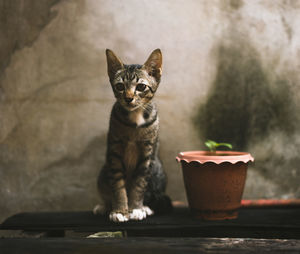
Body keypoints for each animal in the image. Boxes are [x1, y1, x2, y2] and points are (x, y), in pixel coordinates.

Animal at [94, 48, 173, 221]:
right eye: (119, 86)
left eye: (141, 87)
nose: (128, 98)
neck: (135, 118)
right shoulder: (114, 152)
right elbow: (118, 185)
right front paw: (119, 210)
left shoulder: (147, 155)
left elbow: (139, 184)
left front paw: (136, 208)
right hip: (104, 170)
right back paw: (104, 206)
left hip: (157, 169)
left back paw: (145, 207)